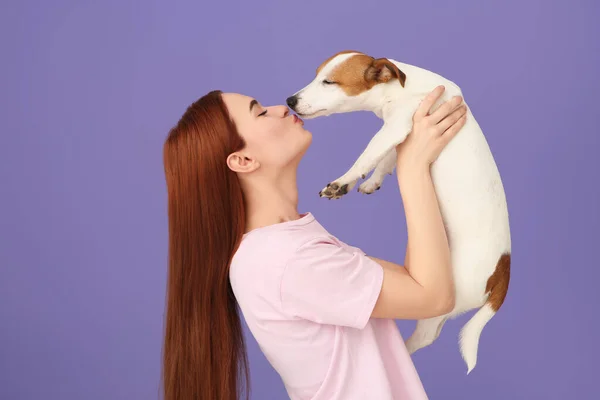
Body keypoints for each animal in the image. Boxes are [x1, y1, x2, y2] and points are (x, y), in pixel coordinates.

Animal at [286, 50, 510, 376]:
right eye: (316, 76)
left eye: (329, 82)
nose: (290, 100)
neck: (400, 86)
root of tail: (503, 271)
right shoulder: (402, 137)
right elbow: (386, 159)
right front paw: (370, 182)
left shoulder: (396, 126)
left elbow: (367, 155)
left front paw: (342, 181)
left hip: (441, 299)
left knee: (426, 335)